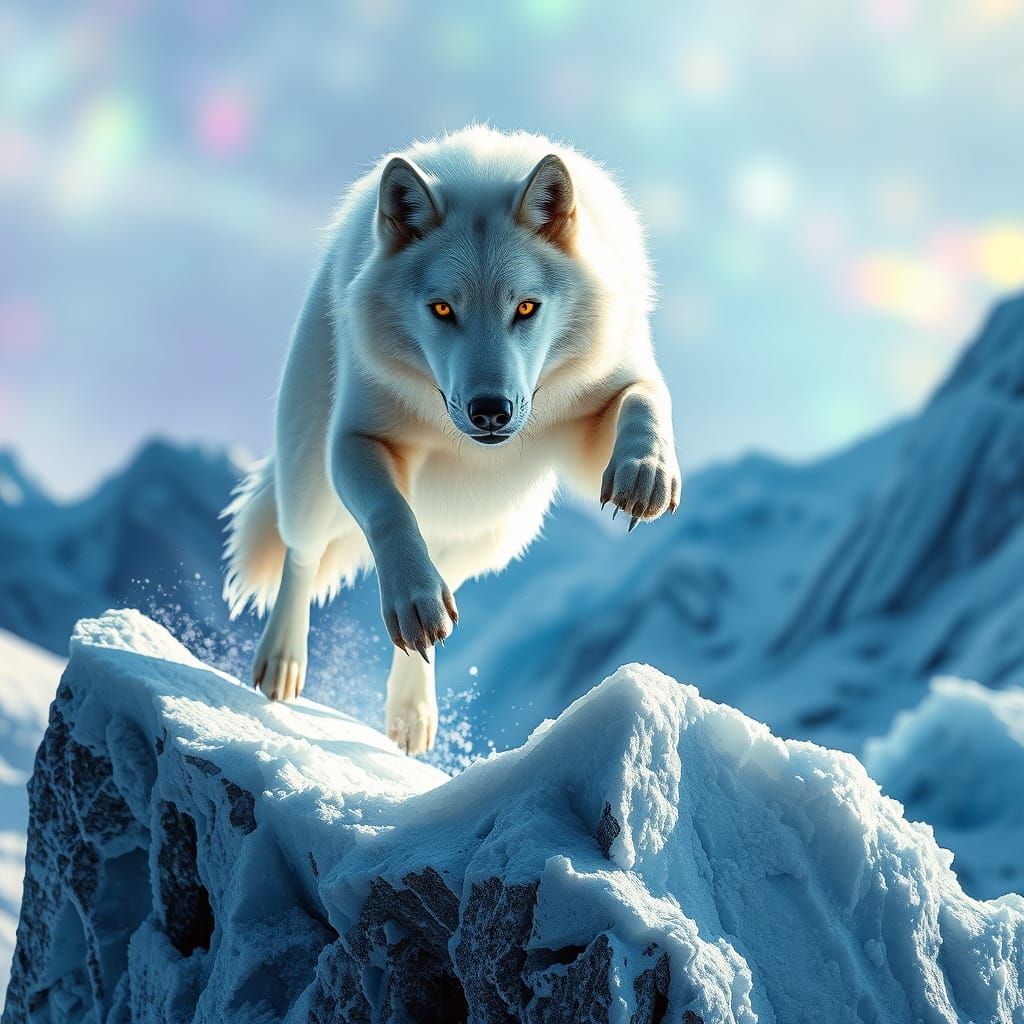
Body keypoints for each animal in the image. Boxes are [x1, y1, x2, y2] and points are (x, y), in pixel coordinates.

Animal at [222, 125, 680, 754]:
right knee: (304, 555)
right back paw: (283, 662)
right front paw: (413, 601)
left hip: (495, 535)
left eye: (526, 307)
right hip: (310, 478)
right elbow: (391, 513)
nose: (491, 411)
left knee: (445, 579)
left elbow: (647, 397)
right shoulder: (356, 439)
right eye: (442, 309)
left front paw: (646, 473)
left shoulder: (605, 398)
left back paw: (411, 711)